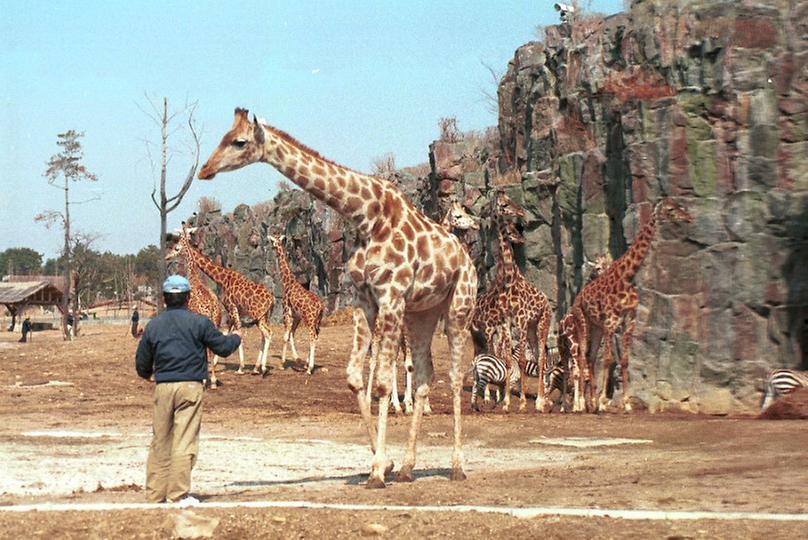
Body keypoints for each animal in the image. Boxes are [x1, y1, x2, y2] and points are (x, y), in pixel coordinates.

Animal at [165, 225, 224, 388]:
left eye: (177, 247)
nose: (167, 257)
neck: (193, 278)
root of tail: (212, 309)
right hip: (216, 323)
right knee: (212, 349)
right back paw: (213, 381)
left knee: (206, 349)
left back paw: (206, 380)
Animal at [174, 226, 274, 378]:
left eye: (179, 241)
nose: (173, 251)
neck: (222, 279)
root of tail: (272, 299)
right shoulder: (231, 310)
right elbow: (227, 332)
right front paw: (216, 363)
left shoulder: (231, 308)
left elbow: (236, 332)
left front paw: (240, 368)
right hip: (263, 317)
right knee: (264, 335)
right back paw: (257, 368)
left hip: (259, 315)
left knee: (268, 333)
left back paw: (262, 368)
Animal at [268, 232, 326, 376]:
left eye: (272, 241)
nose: (272, 247)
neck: (288, 281)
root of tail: (321, 307)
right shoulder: (296, 316)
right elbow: (291, 335)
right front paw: (297, 359)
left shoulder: (286, 311)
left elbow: (285, 336)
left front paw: (282, 364)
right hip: (317, 321)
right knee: (316, 336)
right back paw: (307, 364)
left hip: (309, 319)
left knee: (312, 337)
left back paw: (310, 369)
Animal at [560, 198, 696, 414]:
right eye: (670, 209)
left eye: (679, 205)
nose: (689, 217)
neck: (628, 276)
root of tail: (577, 298)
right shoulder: (610, 322)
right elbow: (608, 360)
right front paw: (603, 403)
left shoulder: (628, 321)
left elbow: (624, 360)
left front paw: (626, 403)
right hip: (583, 323)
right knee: (581, 357)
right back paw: (580, 405)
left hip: (596, 328)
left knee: (590, 357)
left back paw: (589, 404)